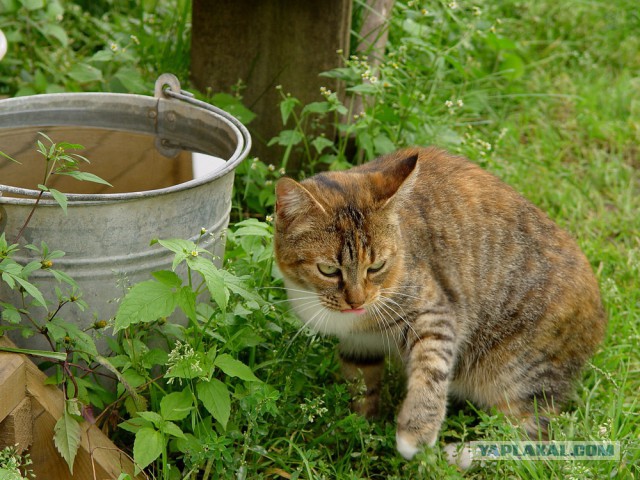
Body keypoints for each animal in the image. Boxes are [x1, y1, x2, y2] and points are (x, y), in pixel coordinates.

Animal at [272, 147, 608, 462]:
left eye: (377, 266)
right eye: (328, 269)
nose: (357, 301)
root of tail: (601, 317)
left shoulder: (434, 309)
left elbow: (431, 365)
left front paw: (415, 432)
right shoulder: (359, 344)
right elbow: (361, 383)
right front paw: (359, 428)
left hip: (520, 369)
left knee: (530, 434)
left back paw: (462, 455)